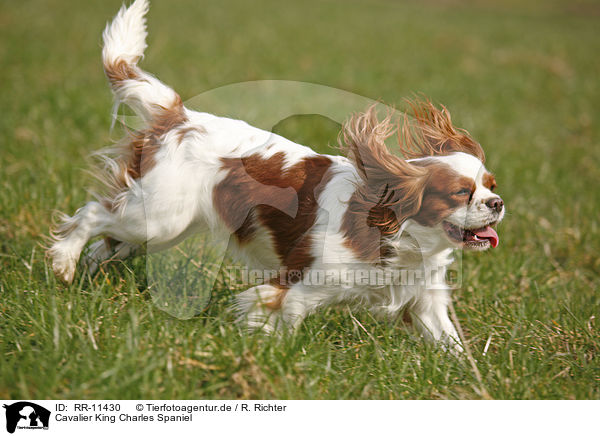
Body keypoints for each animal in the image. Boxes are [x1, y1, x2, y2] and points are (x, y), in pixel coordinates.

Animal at [49, 0, 504, 350]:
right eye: (460, 193)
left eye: (491, 187)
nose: (497, 204)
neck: (400, 238)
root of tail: (179, 116)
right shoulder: (301, 285)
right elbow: (282, 315)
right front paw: (269, 351)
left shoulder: (426, 303)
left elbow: (452, 348)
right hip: (161, 218)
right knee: (93, 214)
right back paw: (64, 263)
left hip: (160, 224)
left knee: (110, 240)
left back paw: (84, 271)